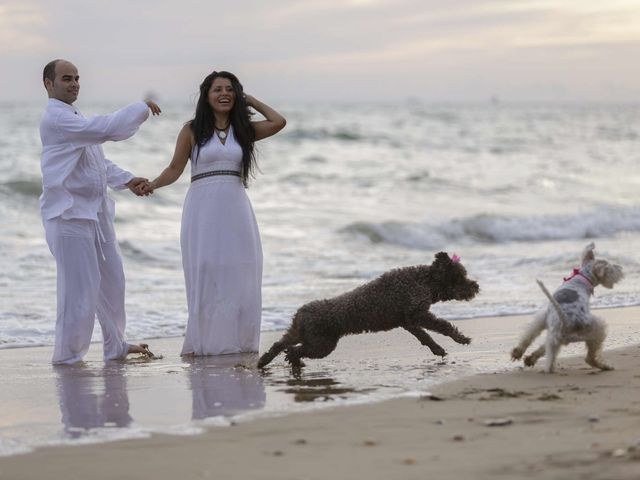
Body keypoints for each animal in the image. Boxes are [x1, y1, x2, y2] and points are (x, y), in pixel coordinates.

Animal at [512, 242, 624, 374]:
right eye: (610, 268)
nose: (621, 268)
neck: (581, 279)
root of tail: (568, 323)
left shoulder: (543, 319)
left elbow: (529, 336)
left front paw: (518, 353)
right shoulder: (548, 327)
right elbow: (534, 339)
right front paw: (525, 356)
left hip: (579, 333)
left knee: (582, 358)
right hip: (575, 335)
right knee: (579, 359)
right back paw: (605, 366)